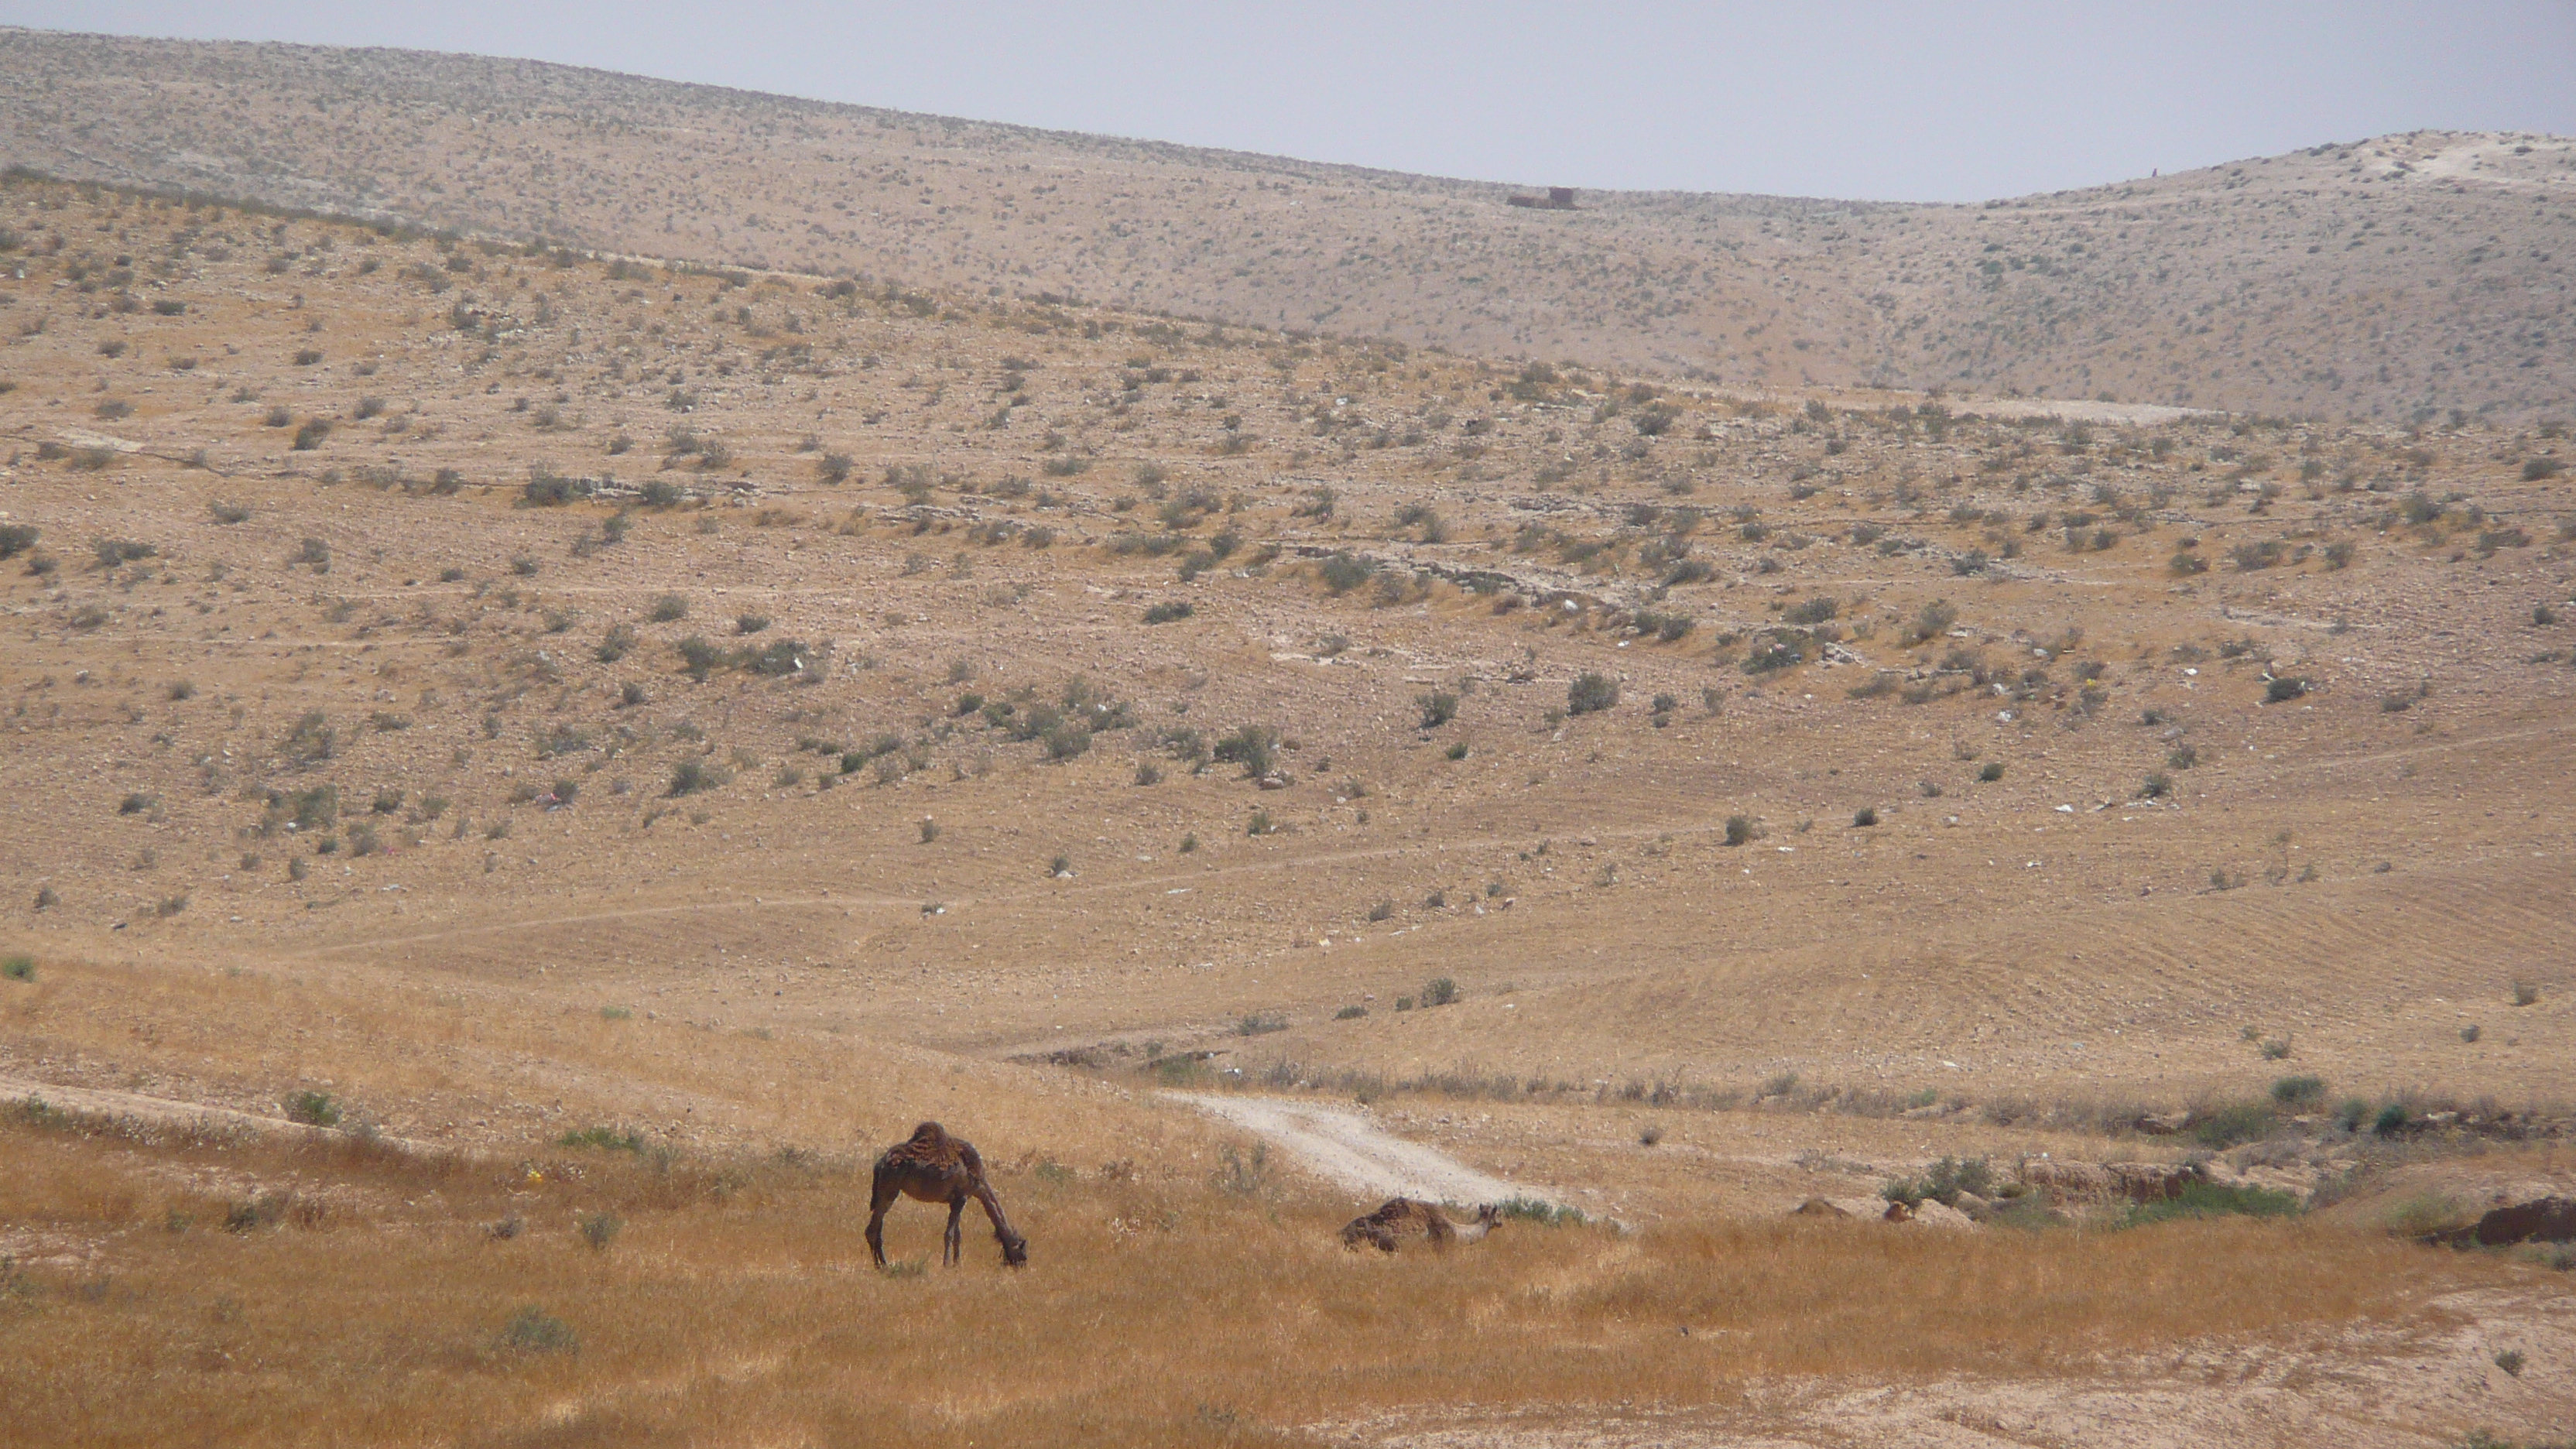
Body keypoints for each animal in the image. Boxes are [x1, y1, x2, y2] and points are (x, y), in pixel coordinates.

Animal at [865, 1118, 1025, 1263]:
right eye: (1022, 1250)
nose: (1022, 1264)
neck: (979, 1182)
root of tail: (880, 1163)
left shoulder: (956, 1200)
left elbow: (957, 1235)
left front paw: (957, 1263)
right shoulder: (962, 1197)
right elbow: (949, 1234)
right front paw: (947, 1263)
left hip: (886, 1192)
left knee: (877, 1226)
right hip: (889, 1189)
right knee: (872, 1230)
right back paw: (882, 1266)